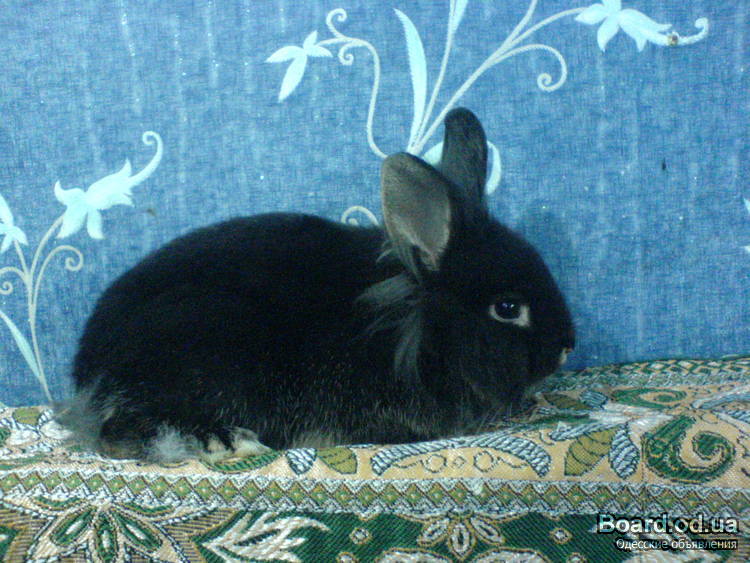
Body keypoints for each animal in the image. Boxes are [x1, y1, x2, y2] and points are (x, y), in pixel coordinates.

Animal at [57, 108, 575, 462]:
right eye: (507, 309)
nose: (567, 348)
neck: (409, 324)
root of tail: (89, 373)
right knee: (122, 435)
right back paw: (225, 440)